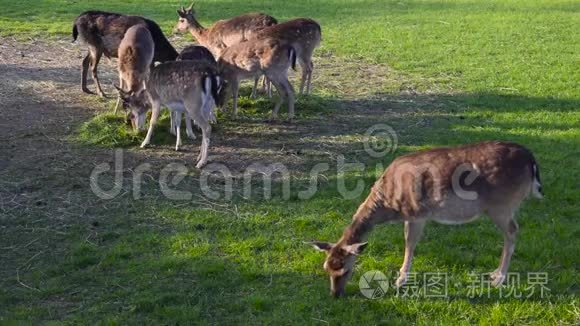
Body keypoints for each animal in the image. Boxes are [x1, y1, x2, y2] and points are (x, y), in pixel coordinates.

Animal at [312, 141, 544, 298]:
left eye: (346, 269)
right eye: (326, 268)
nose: (335, 294)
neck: (388, 204)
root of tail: (531, 161)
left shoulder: (417, 213)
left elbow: (410, 242)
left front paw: (400, 281)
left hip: (502, 205)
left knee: (512, 231)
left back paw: (499, 278)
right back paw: (494, 273)